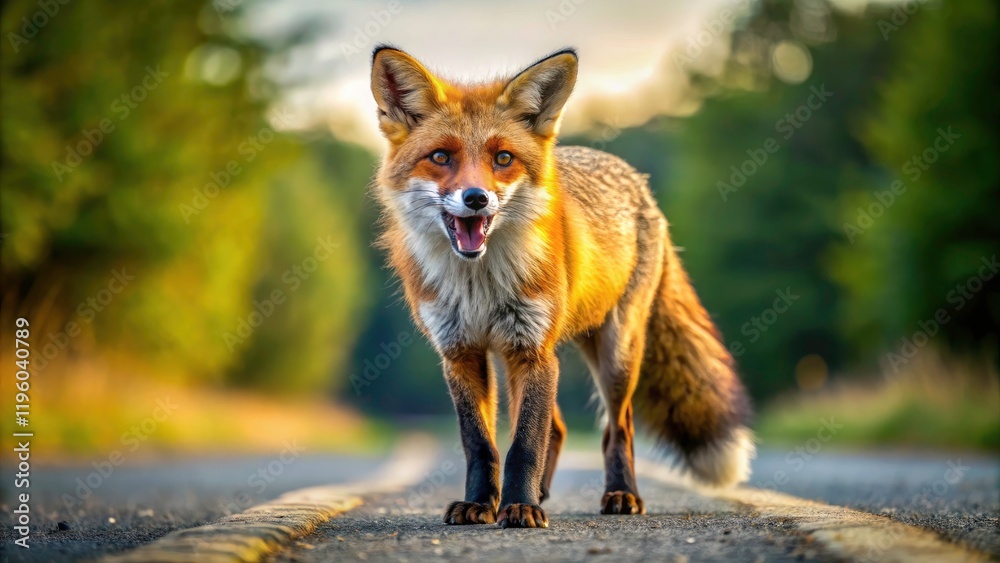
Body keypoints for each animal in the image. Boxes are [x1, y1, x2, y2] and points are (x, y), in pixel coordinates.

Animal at [369, 46, 754, 528]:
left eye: (503, 159)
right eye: (441, 157)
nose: (476, 198)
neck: (480, 284)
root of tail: (638, 182)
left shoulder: (532, 349)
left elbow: (523, 445)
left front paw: (519, 507)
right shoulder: (462, 352)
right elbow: (481, 443)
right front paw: (481, 504)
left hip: (614, 353)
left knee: (617, 428)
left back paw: (621, 494)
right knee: (560, 426)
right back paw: (541, 492)